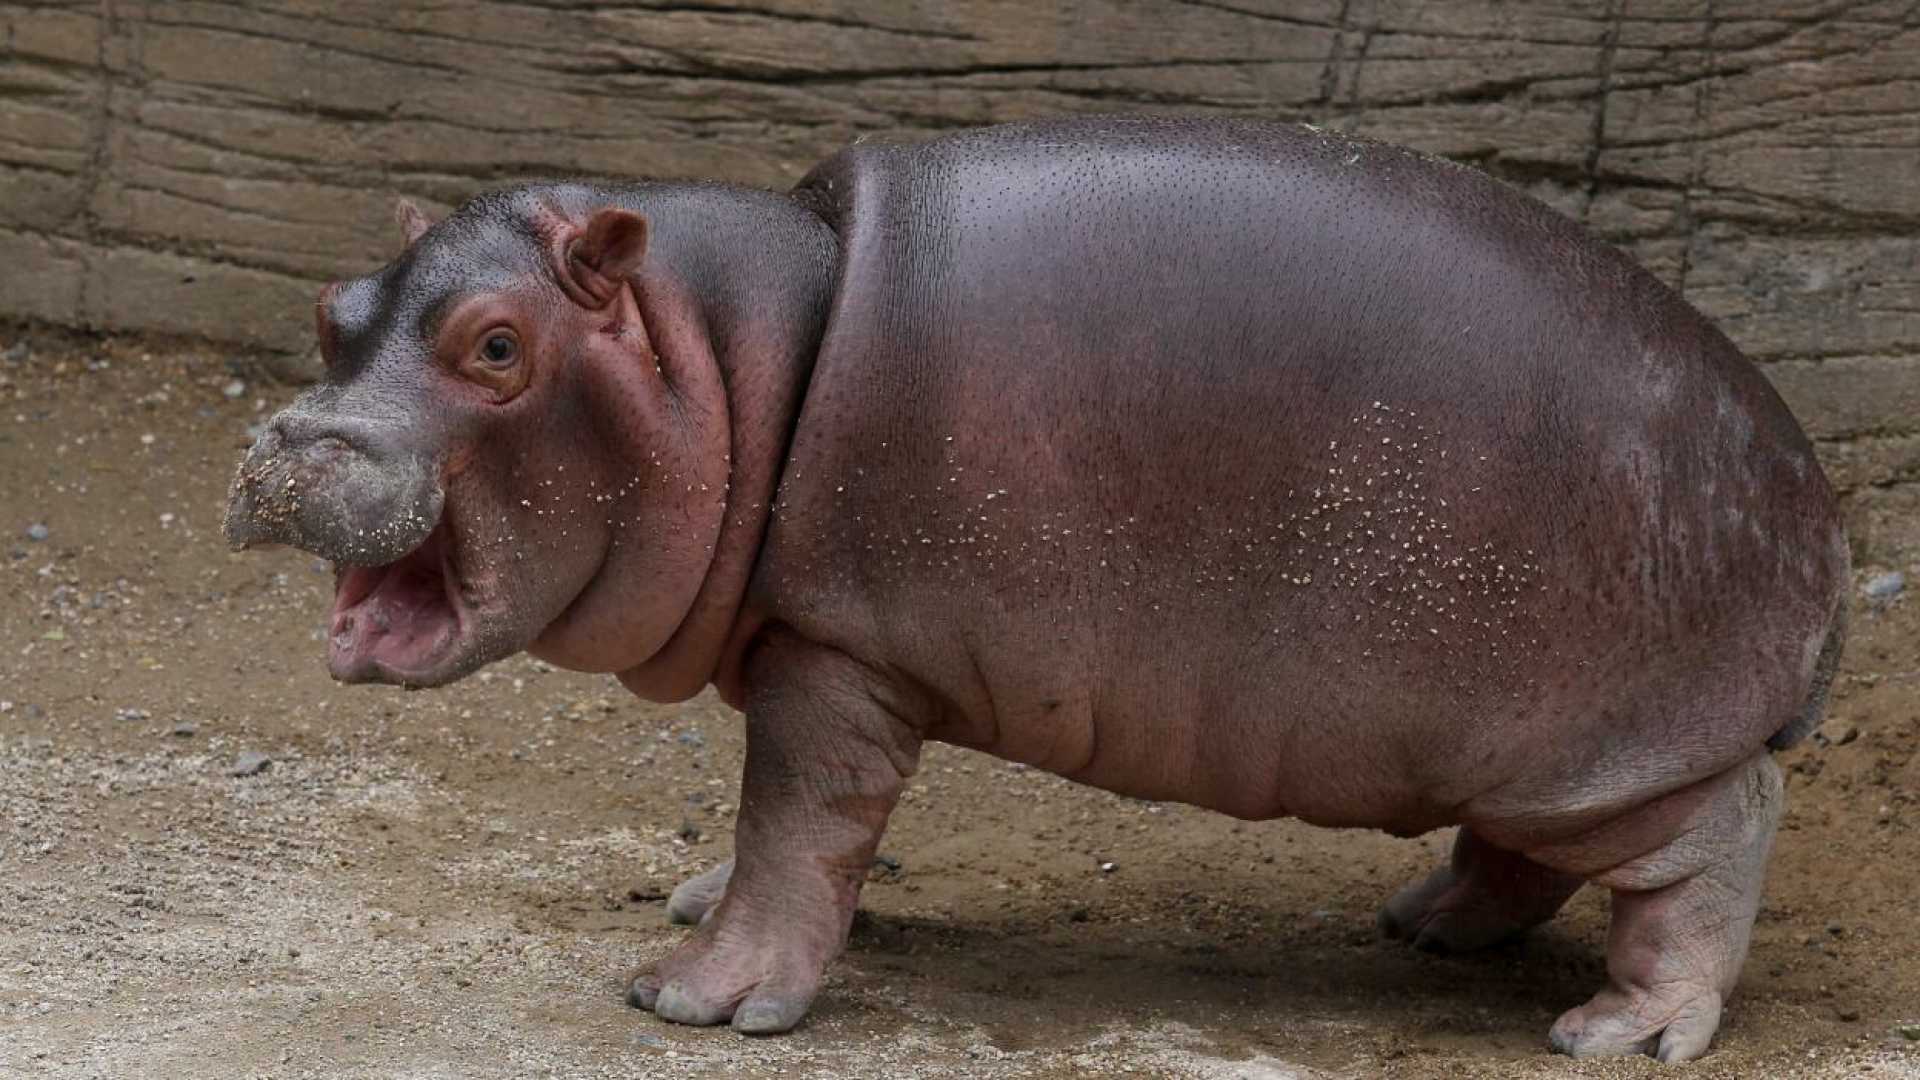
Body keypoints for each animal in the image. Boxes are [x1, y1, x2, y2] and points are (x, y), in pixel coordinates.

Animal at [220, 117, 1843, 1060]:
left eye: (497, 345)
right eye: (335, 307)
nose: (291, 444)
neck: (723, 349)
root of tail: (1813, 506)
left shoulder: (835, 654)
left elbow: (795, 818)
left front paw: (697, 997)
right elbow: (794, 840)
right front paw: (696, 905)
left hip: (1611, 736)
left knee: (1717, 836)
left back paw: (1621, 1029)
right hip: (1518, 747)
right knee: (1531, 852)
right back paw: (1428, 923)